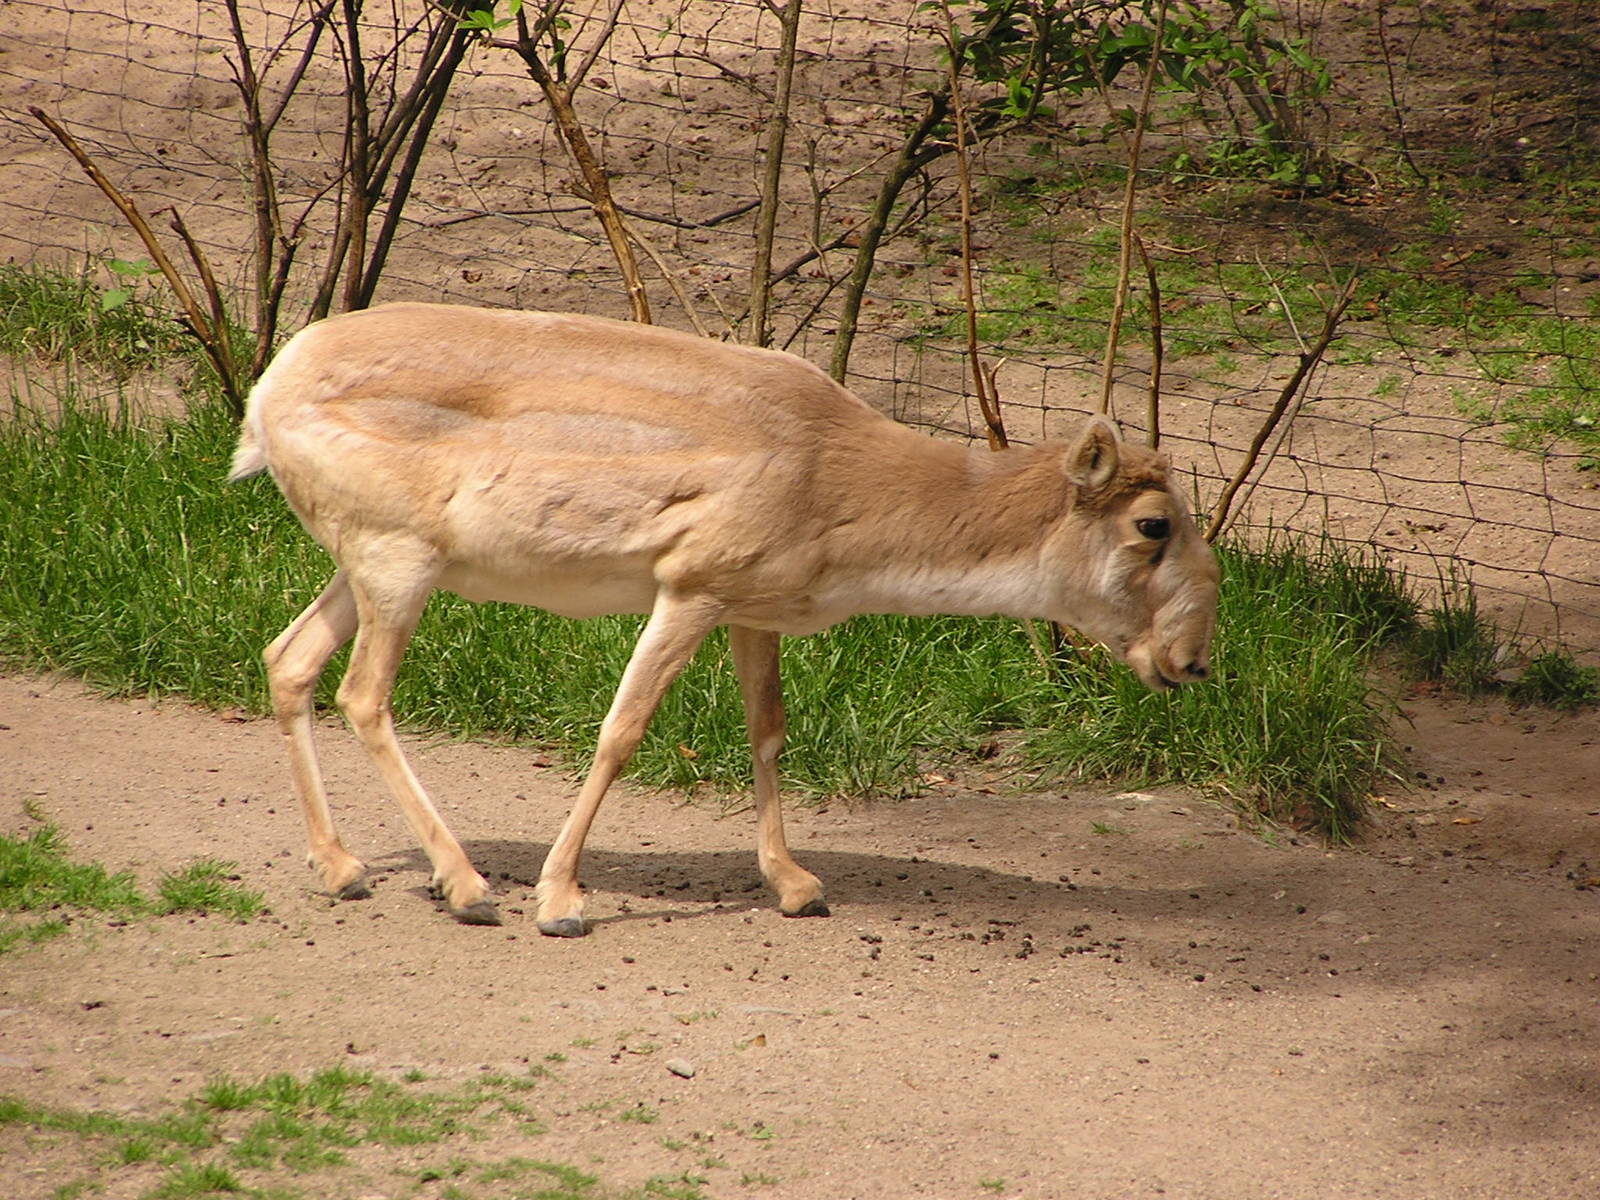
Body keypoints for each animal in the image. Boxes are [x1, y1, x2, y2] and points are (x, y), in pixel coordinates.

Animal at [229, 302, 1218, 936]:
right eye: (1154, 524)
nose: (1193, 659)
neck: (842, 482)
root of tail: (263, 395)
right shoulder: (691, 585)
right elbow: (622, 730)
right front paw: (561, 900)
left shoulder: (754, 606)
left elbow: (768, 729)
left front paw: (796, 884)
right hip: (399, 560)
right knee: (363, 694)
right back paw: (468, 885)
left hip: (364, 564)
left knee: (288, 658)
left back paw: (345, 868)